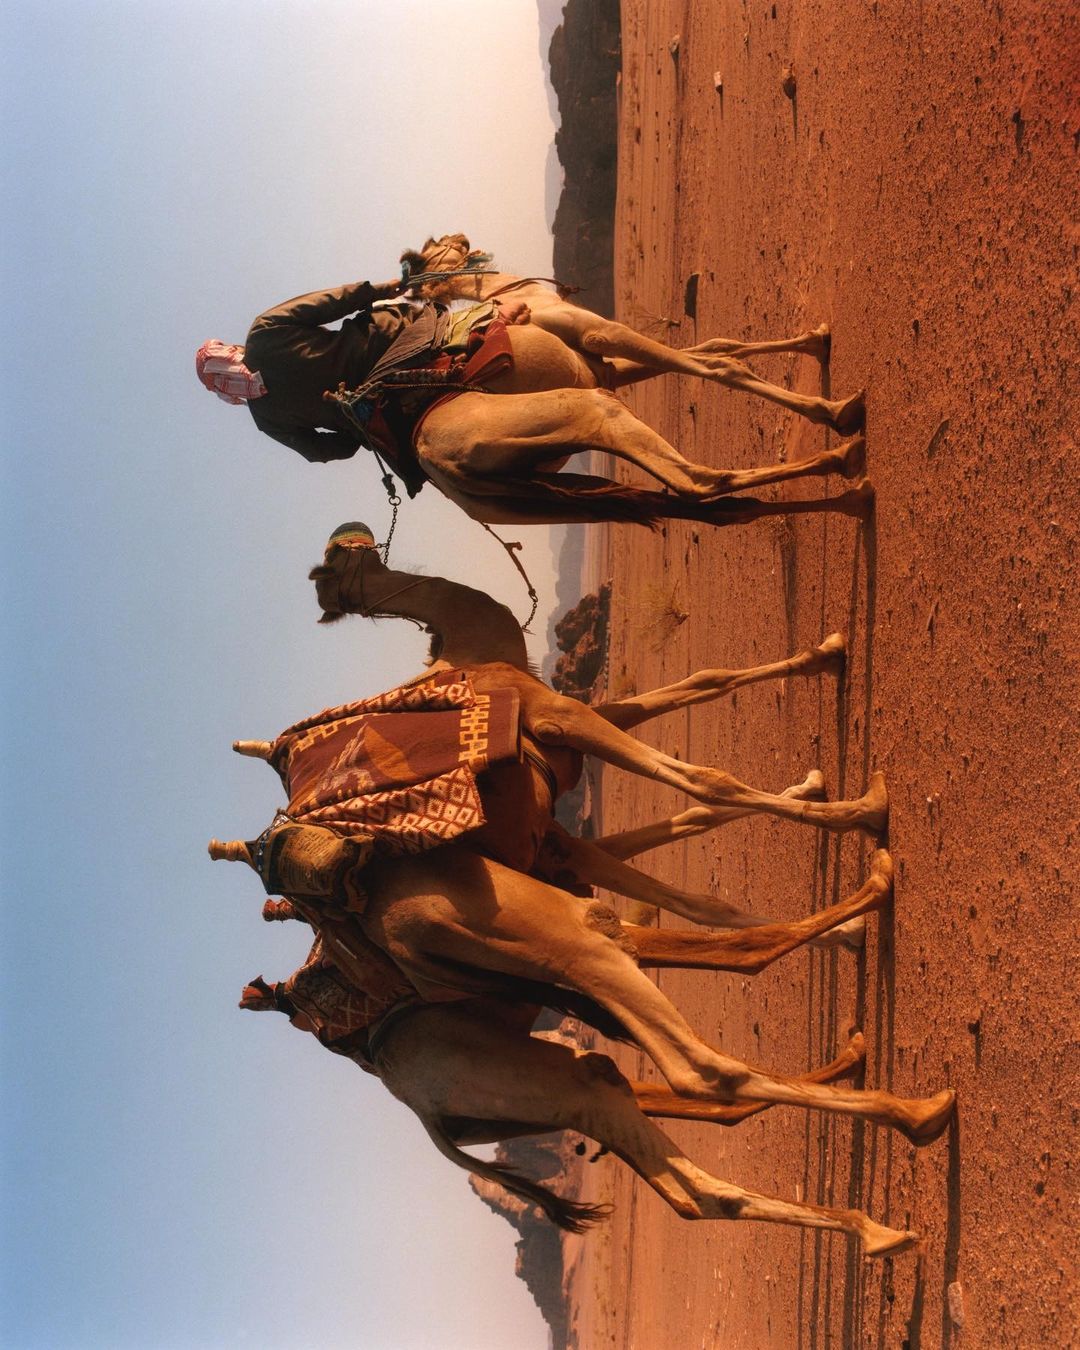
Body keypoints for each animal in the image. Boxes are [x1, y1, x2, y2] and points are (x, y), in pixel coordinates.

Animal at [325, 234, 873, 529]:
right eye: (435, 246)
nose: (459, 237)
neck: (521, 298)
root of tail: (439, 466)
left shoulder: (602, 362)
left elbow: (719, 347)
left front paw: (818, 340)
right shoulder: (598, 335)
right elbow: (721, 366)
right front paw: (835, 410)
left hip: (533, 499)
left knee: (709, 508)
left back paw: (849, 496)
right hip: (580, 410)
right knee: (694, 481)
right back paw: (844, 457)